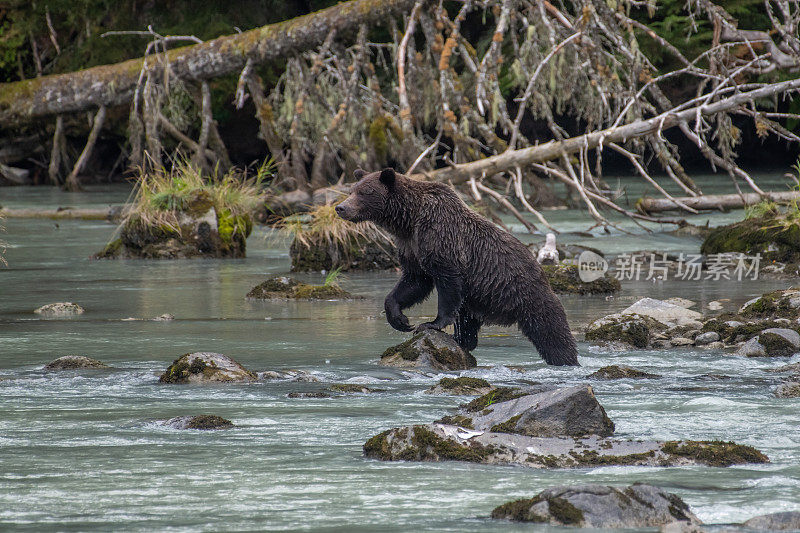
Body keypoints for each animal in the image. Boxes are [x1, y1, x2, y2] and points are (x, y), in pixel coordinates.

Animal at [334, 167, 580, 366]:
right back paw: (460, 341)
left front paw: (431, 324)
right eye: (351, 190)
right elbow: (413, 281)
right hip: (477, 302)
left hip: (531, 298)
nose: (340, 207)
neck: (408, 220)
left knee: (553, 335)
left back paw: (567, 360)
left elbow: (447, 283)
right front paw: (400, 319)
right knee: (468, 324)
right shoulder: (411, 246)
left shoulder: (441, 237)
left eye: (365, 192)